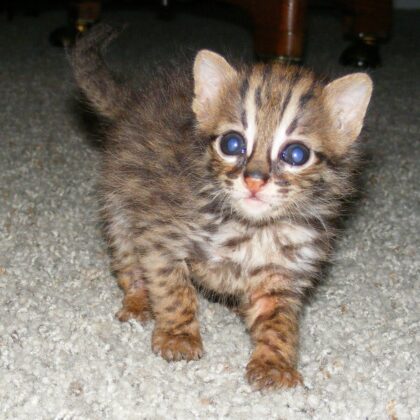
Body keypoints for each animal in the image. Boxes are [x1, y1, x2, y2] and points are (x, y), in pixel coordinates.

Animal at [70, 23, 372, 390]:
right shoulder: (161, 238)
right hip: (121, 207)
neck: (253, 228)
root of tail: (135, 103)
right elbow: (174, 290)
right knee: (129, 263)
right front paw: (178, 335)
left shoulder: (282, 275)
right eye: (232, 144)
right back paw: (140, 300)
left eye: (296, 154)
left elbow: (278, 322)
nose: (254, 179)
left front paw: (274, 362)